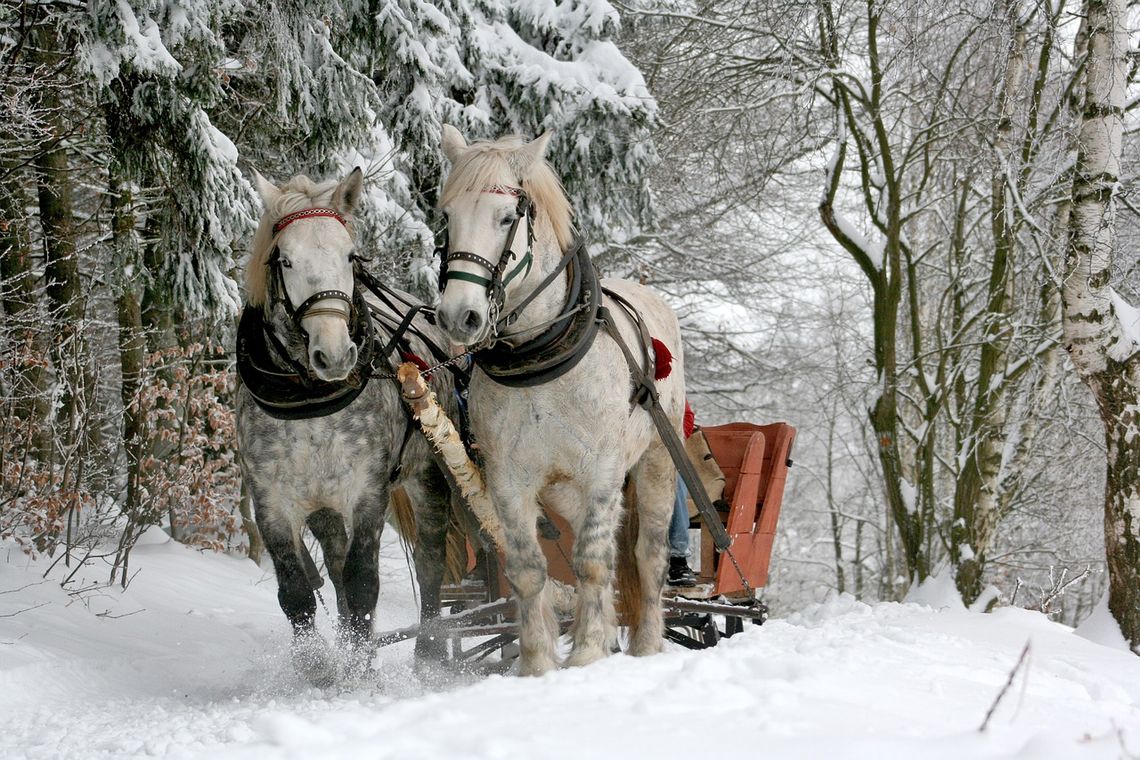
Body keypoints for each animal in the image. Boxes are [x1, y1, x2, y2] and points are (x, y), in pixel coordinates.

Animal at [433, 126, 684, 679]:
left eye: (507, 218)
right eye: (447, 217)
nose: (459, 316)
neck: (540, 355)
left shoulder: (604, 472)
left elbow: (592, 561)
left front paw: (588, 652)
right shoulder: (508, 479)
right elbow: (529, 569)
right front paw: (537, 663)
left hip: (656, 462)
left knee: (647, 554)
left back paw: (646, 644)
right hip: (563, 488)